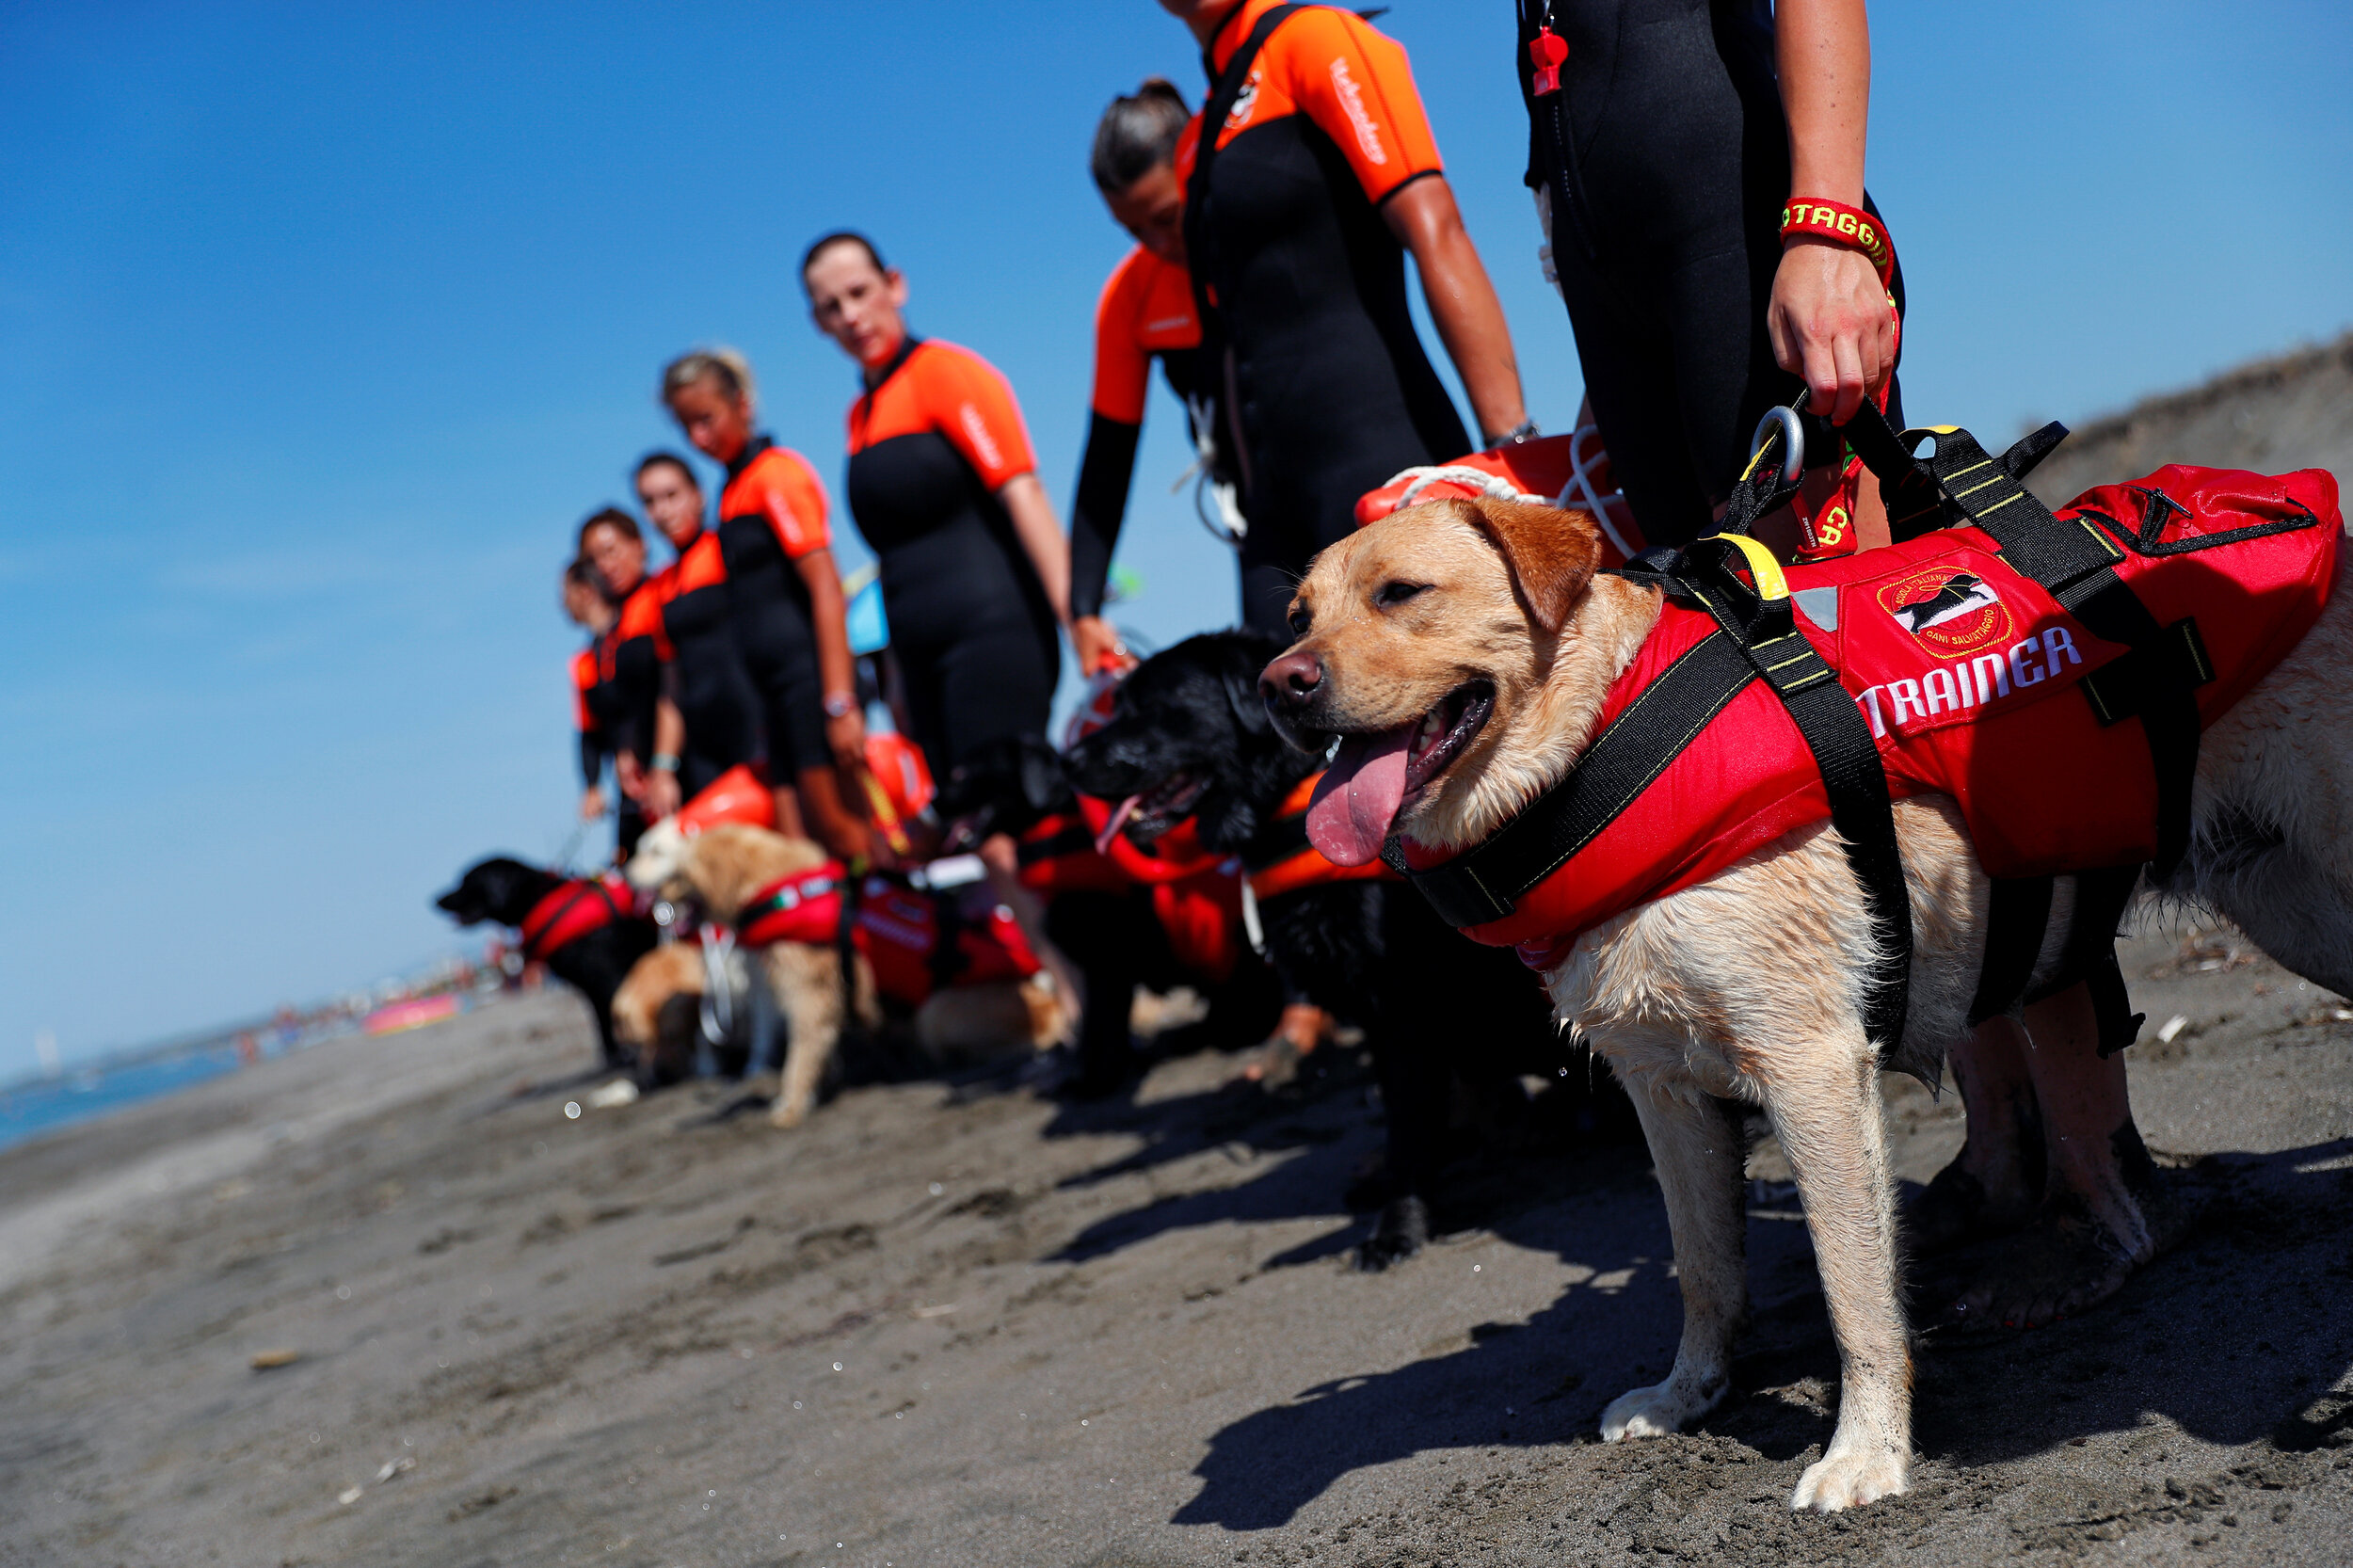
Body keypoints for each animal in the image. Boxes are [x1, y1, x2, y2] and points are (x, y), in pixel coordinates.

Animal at [428, 856, 654, 1064]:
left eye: (466, 881)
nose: (435, 899)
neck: (536, 897)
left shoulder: (607, 976)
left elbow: (608, 1018)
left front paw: (624, 1055)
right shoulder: (593, 985)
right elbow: (602, 1020)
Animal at [1064, 631, 1628, 1261]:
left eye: (1153, 706)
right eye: (1119, 704)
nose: (1067, 762)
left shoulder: (1404, 1009)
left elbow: (1408, 1123)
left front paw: (1400, 1225)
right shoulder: (1380, 1018)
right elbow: (1404, 1111)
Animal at [1261, 496, 2353, 1506]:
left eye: (1401, 592)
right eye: (1296, 615)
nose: (1282, 685)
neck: (1597, 742)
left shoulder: (1812, 1067)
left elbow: (1853, 1289)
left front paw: (1866, 1452)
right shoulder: (1662, 1091)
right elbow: (1704, 1264)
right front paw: (1689, 1394)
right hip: (2284, 904)